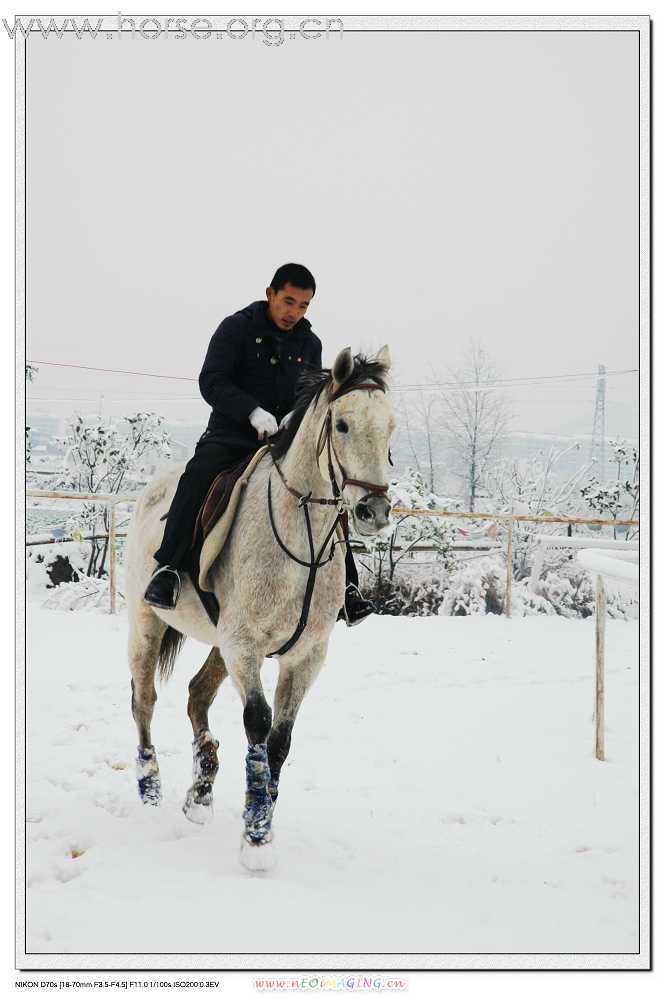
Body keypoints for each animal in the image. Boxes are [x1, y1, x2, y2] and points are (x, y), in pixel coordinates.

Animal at [124, 348, 394, 872]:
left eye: (391, 426)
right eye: (343, 425)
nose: (373, 512)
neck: (300, 535)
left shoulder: (304, 655)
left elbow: (280, 740)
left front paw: (261, 813)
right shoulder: (244, 644)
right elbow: (258, 722)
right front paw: (256, 836)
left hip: (218, 642)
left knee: (196, 695)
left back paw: (201, 789)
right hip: (147, 623)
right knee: (144, 700)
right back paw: (150, 788)